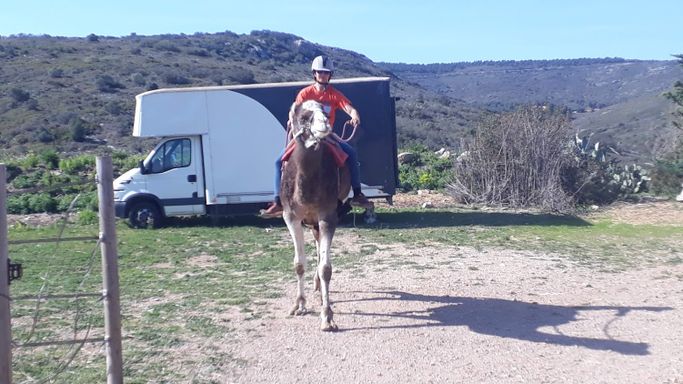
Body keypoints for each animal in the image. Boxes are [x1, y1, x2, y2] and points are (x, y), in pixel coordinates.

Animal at [280, 100, 352, 332]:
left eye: (325, 112)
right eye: (303, 116)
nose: (324, 125)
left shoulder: (328, 215)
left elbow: (326, 267)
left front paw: (327, 317)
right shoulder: (290, 216)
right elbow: (299, 263)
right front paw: (299, 305)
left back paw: (320, 288)